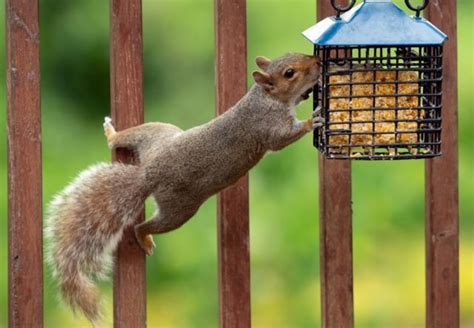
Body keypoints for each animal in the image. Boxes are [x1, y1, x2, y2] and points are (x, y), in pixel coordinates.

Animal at [46, 52, 324, 324]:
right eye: (289, 73)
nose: (317, 61)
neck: (265, 98)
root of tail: (148, 174)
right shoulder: (269, 126)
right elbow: (281, 140)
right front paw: (313, 120)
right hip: (179, 210)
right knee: (142, 226)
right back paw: (143, 238)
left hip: (157, 133)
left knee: (122, 140)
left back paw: (111, 134)